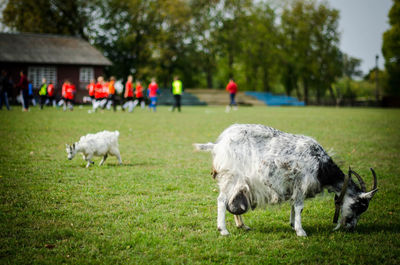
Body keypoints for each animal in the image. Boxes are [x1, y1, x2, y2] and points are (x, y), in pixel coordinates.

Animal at [194, 123, 378, 235]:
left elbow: (293, 205)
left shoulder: (294, 186)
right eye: (359, 205)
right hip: (230, 177)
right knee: (221, 200)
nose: (351, 227)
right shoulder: (302, 183)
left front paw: (292, 225)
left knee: (232, 201)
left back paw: (242, 225)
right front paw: (301, 231)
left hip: (238, 181)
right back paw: (223, 230)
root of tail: (218, 145)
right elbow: (299, 207)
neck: (320, 164)